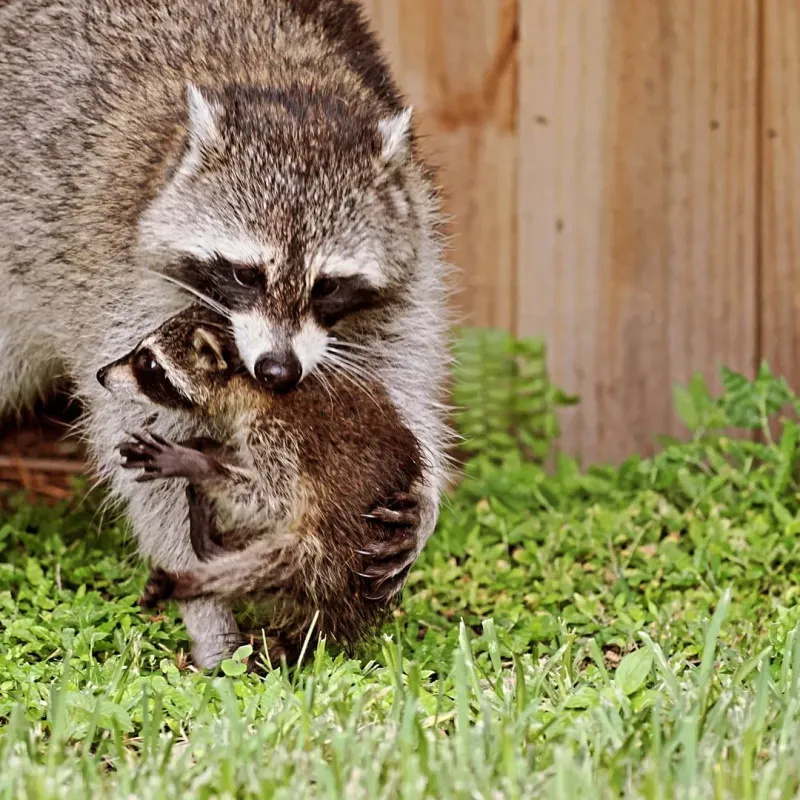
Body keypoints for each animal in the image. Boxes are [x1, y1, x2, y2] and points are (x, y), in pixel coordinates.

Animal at [98, 305, 426, 662]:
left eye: (149, 363)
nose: (101, 374)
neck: (247, 383)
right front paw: (204, 447)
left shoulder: (277, 434)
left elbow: (275, 499)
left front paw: (197, 464)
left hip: (338, 557)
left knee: (284, 559)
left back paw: (193, 577)